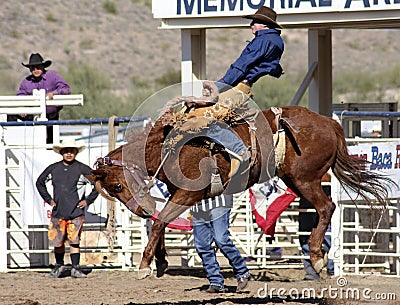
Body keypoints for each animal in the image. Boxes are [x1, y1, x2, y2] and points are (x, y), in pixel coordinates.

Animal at [88, 105, 394, 278]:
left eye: (117, 186)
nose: (138, 209)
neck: (167, 147)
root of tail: (329, 122)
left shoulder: (187, 194)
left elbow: (160, 221)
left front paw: (144, 266)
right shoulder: (180, 194)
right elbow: (159, 223)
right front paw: (160, 261)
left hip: (305, 178)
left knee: (327, 207)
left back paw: (318, 259)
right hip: (297, 179)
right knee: (324, 208)